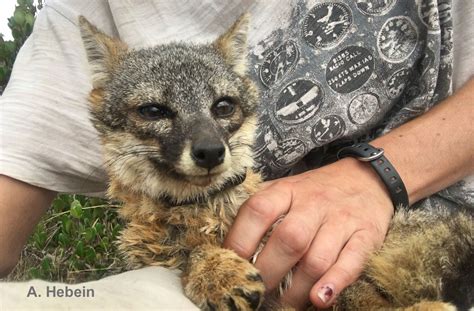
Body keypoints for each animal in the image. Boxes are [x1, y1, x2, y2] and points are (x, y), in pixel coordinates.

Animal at [79, 13, 472, 310]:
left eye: (223, 106)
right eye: (153, 110)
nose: (210, 151)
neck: (206, 214)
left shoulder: (327, 271)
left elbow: (357, 295)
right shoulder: (151, 254)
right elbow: (189, 254)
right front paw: (216, 271)